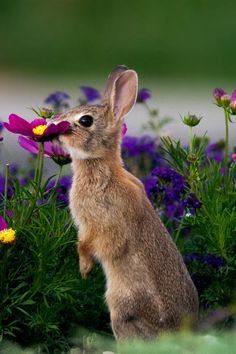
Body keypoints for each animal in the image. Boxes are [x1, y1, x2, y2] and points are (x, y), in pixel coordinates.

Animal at [52, 65, 198, 340]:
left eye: (85, 120)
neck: (103, 170)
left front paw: (84, 270)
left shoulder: (100, 223)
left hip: (121, 309)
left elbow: (93, 245)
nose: (52, 125)